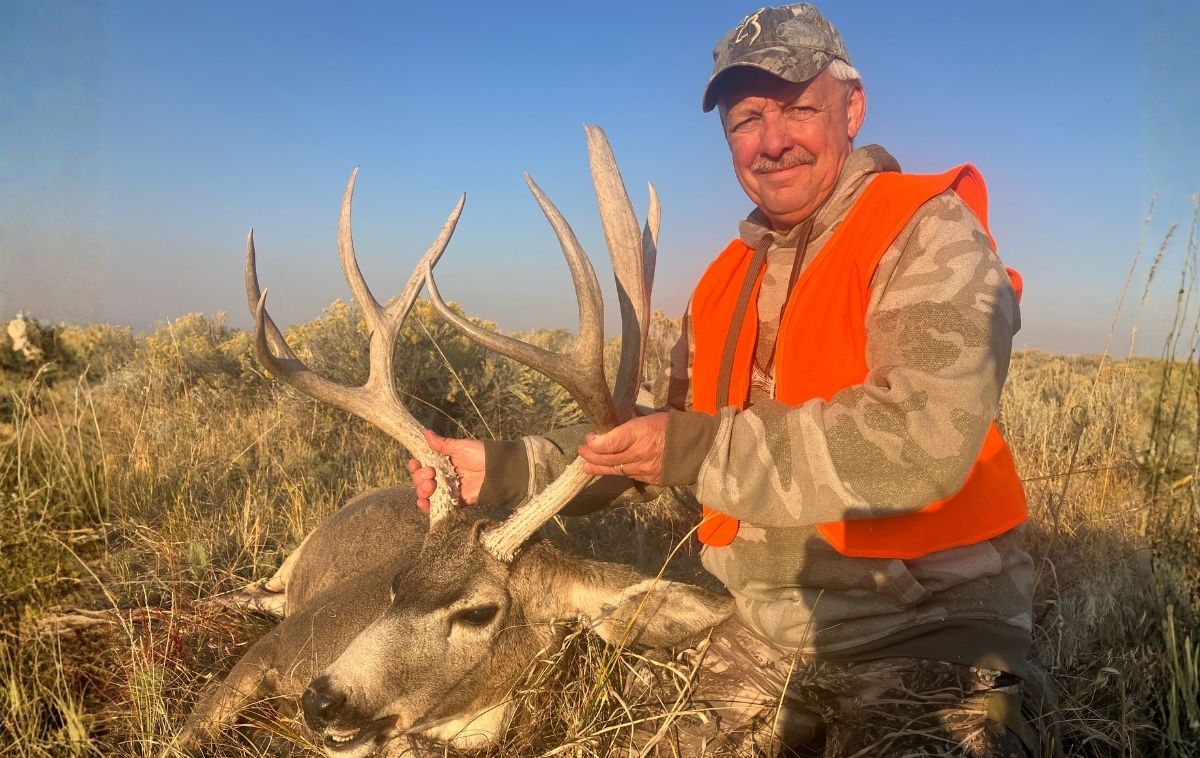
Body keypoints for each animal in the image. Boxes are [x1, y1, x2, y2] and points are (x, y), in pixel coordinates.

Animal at [170, 126, 734, 757]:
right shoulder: (273, 652)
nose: (322, 701)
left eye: (479, 613)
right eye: (398, 583)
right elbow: (186, 733)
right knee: (251, 589)